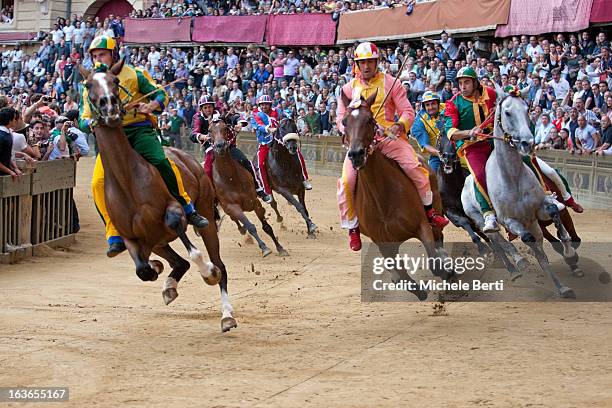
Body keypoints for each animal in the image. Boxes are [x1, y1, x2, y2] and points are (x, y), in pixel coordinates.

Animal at [208, 114, 290, 258]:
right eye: (209, 131)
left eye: (225, 128)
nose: (220, 146)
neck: (230, 178)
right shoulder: (233, 207)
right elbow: (250, 226)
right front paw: (264, 248)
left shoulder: (255, 202)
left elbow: (267, 226)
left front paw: (280, 248)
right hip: (227, 208)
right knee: (235, 220)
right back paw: (242, 230)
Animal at [464, 84, 580, 298]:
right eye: (507, 112)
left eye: (527, 110)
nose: (527, 142)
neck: (512, 178)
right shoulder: (508, 220)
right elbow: (525, 239)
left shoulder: (539, 209)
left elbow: (554, 214)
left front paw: (569, 253)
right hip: (480, 221)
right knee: (501, 242)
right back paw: (518, 265)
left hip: (532, 221)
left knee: (539, 250)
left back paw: (562, 286)